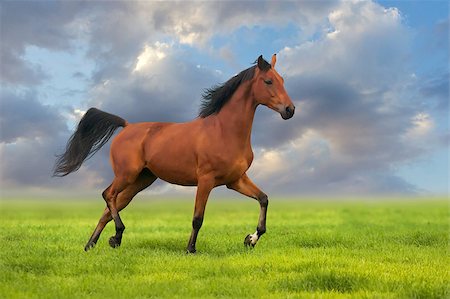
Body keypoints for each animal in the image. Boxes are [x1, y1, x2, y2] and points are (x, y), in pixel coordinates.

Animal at [54, 55, 296, 254]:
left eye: (283, 80)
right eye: (268, 81)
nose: (289, 110)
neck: (224, 131)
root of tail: (127, 125)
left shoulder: (236, 180)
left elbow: (263, 199)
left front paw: (250, 240)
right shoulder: (206, 180)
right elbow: (198, 218)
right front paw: (191, 249)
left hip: (140, 181)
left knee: (108, 207)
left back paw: (94, 244)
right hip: (126, 175)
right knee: (107, 195)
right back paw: (117, 235)